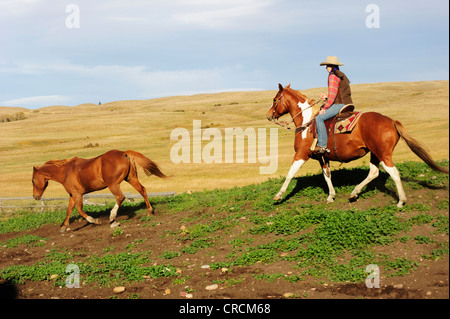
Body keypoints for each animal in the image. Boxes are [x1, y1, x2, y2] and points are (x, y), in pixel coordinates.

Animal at [32, 150, 168, 232]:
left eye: (33, 181)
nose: (35, 196)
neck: (66, 171)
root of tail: (124, 153)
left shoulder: (77, 194)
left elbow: (79, 210)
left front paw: (95, 220)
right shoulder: (72, 195)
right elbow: (69, 210)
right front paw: (64, 227)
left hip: (113, 184)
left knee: (120, 197)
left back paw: (112, 218)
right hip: (131, 178)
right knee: (142, 190)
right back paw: (150, 211)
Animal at [268, 84, 446, 208]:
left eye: (275, 99)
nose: (269, 115)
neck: (307, 122)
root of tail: (391, 121)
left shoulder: (301, 154)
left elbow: (290, 174)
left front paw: (278, 195)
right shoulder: (322, 157)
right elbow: (327, 175)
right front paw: (331, 196)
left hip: (383, 154)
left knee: (393, 172)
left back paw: (401, 201)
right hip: (374, 153)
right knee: (374, 172)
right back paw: (354, 193)